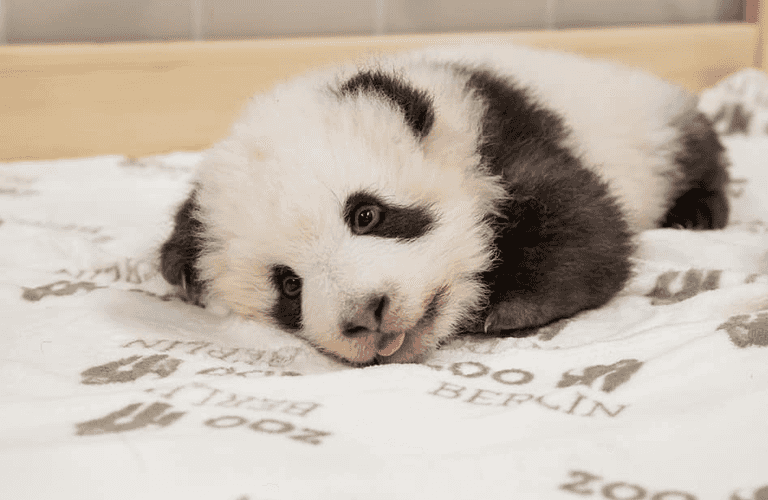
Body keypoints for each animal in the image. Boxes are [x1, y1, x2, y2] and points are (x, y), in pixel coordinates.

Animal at [159, 44, 729, 365]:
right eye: (288, 286)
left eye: (367, 214)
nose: (367, 314)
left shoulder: (499, 131)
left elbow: (590, 227)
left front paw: (506, 306)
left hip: (650, 122)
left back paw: (698, 211)